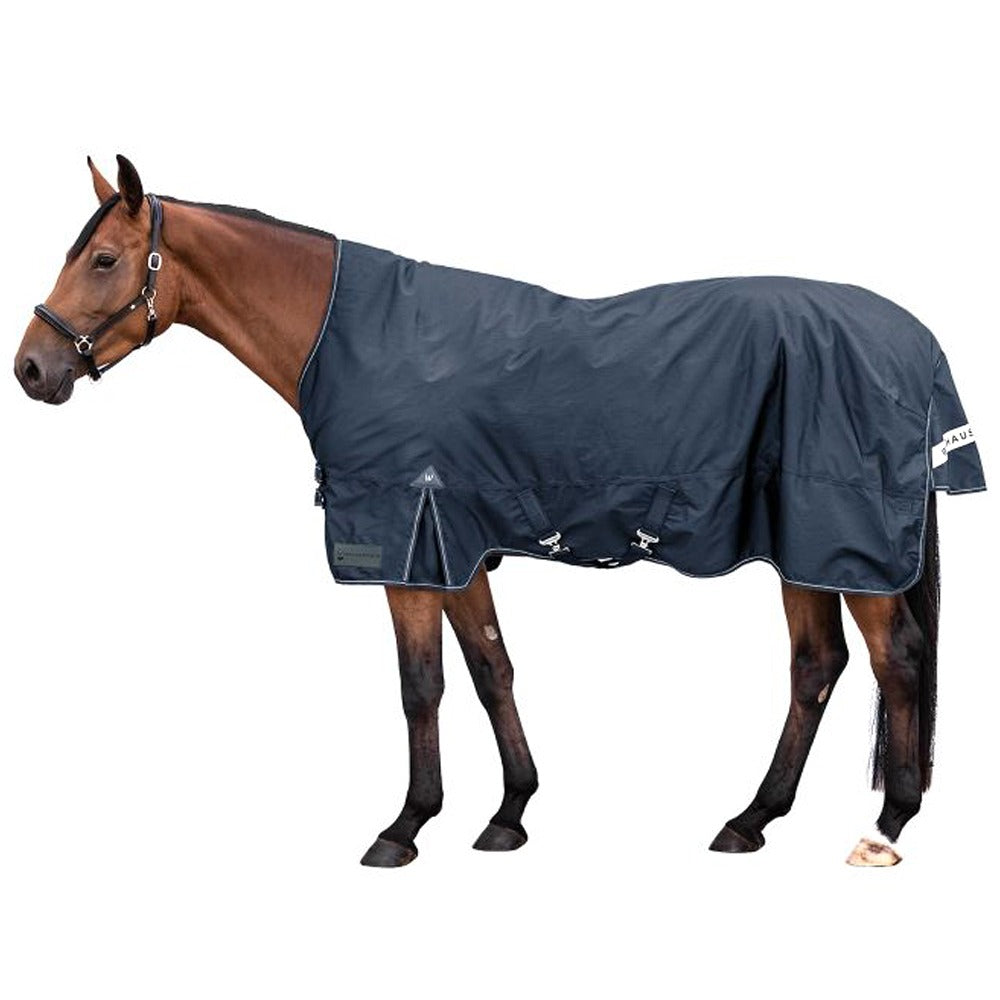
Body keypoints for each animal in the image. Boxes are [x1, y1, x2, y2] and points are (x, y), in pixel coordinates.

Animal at [14, 155, 984, 867]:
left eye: (103, 260)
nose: (30, 369)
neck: (351, 337)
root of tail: (914, 340)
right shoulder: (459, 548)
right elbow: (491, 670)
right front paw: (510, 812)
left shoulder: (406, 549)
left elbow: (422, 686)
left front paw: (405, 827)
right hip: (806, 546)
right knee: (817, 667)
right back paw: (751, 820)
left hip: (843, 540)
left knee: (896, 660)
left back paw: (885, 828)